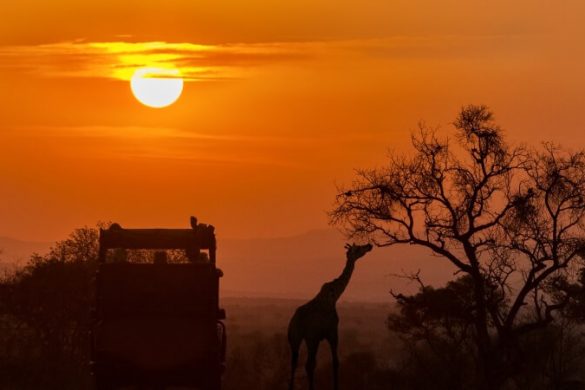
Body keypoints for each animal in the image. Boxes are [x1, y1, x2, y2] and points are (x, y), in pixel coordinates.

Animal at [288, 242, 374, 388]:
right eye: (358, 248)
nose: (369, 245)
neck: (335, 296)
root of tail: (295, 321)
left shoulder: (324, 335)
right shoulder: (332, 332)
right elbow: (336, 362)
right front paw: (336, 386)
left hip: (295, 338)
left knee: (294, 363)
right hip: (311, 338)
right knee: (308, 364)